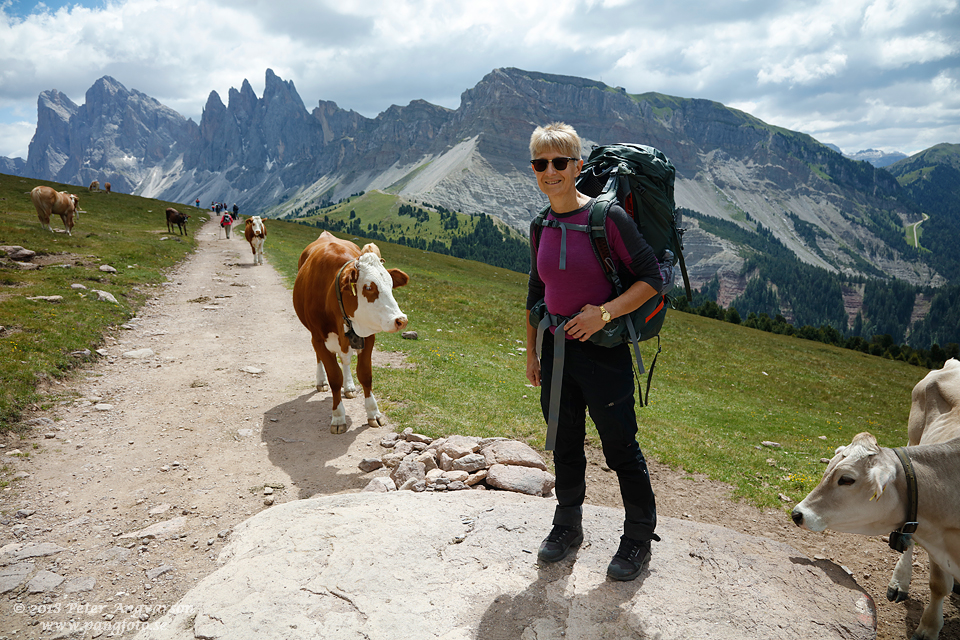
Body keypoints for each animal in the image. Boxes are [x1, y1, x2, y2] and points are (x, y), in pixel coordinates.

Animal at [294, 231, 410, 436]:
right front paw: (338, 417)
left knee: (346, 359)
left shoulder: (368, 335)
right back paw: (321, 381)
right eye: (369, 287)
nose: (401, 320)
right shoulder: (319, 338)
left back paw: (348, 386)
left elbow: (365, 374)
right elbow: (334, 377)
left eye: (390, 285)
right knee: (321, 358)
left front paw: (373, 413)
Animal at [792, 360, 960, 640]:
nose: (797, 513)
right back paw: (899, 582)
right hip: (913, 435)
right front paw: (928, 628)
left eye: (846, 479)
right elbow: (938, 585)